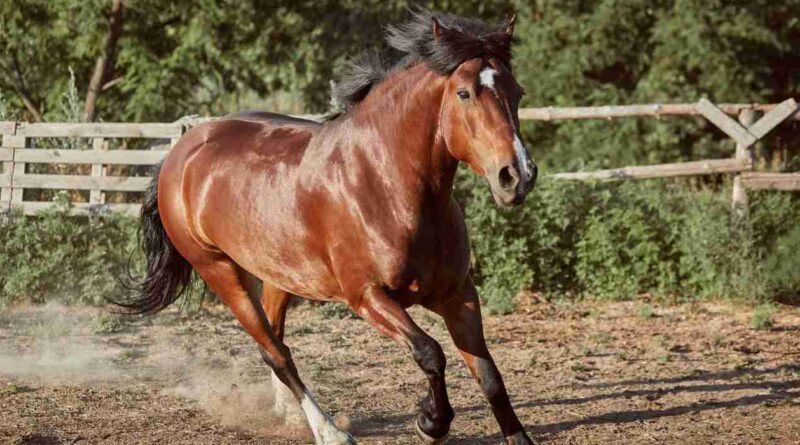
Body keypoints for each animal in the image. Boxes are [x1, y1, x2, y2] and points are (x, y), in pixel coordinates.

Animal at [117, 7, 536, 444]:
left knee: (275, 339)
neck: (385, 182)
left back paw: (289, 414)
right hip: (220, 272)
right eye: (464, 93)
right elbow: (430, 353)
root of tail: (180, 153)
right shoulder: (367, 296)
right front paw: (430, 423)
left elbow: (490, 376)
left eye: (518, 92)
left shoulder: (458, 295)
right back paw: (329, 430)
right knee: (276, 352)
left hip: (278, 274)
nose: (517, 176)